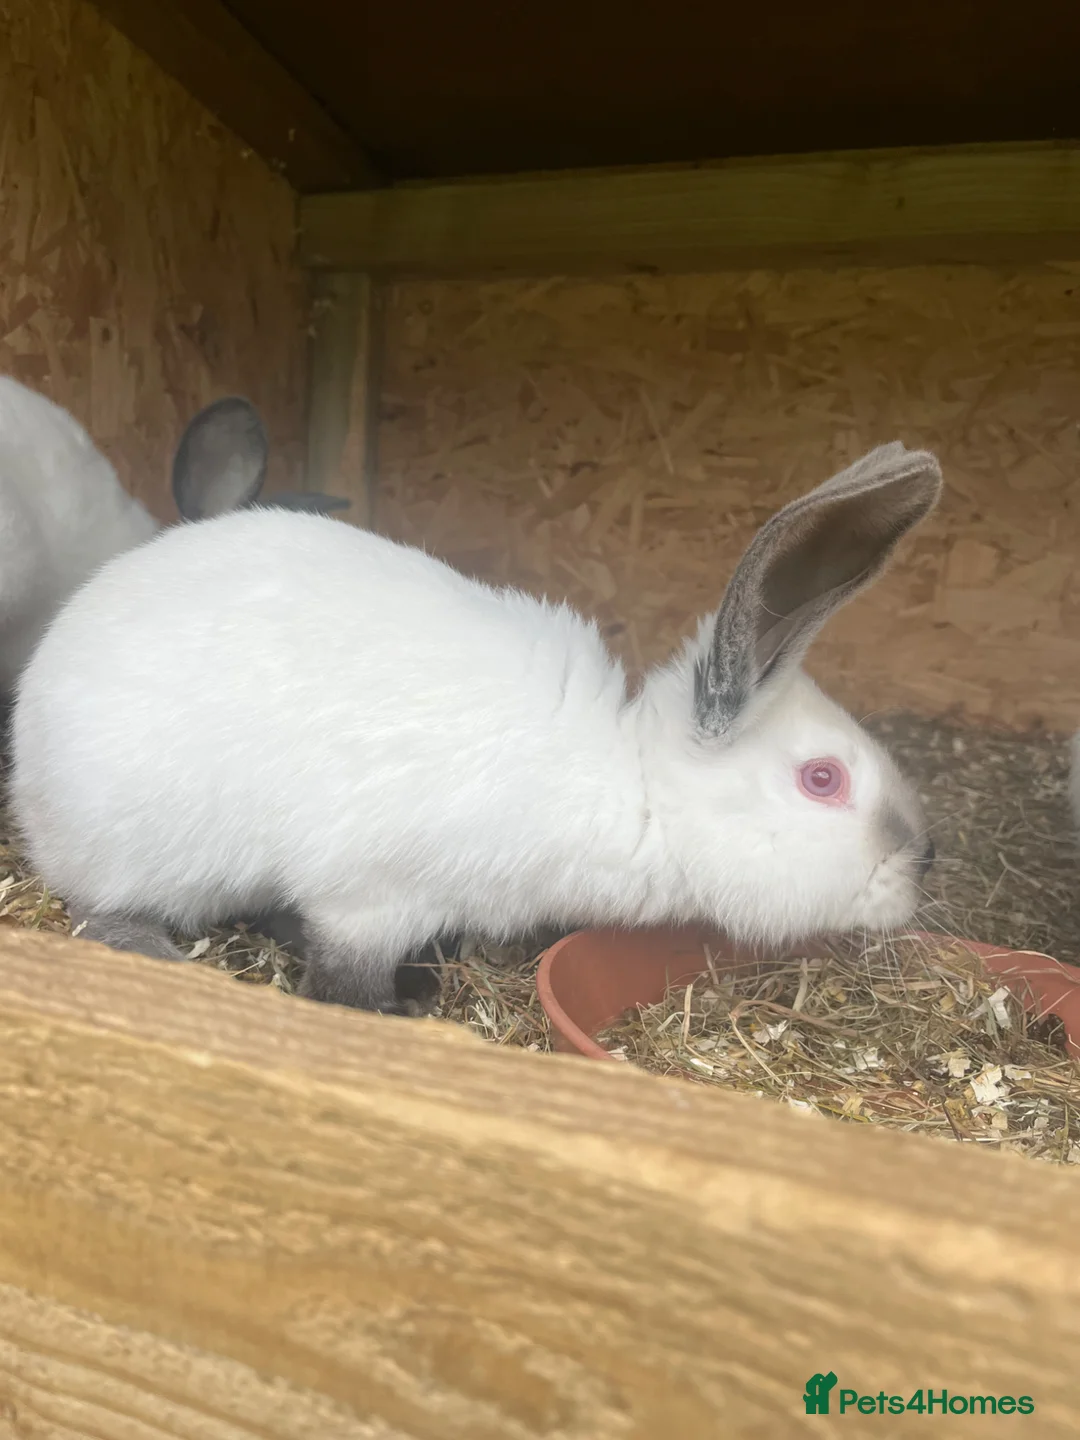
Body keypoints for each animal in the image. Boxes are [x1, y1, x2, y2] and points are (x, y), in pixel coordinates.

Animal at [10, 441, 942, 1015]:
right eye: (823, 779)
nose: (923, 861)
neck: (632, 784)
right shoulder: (373, 894)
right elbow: (344, 978)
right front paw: (402, 1009)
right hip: (130, 849)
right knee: (99, 910)